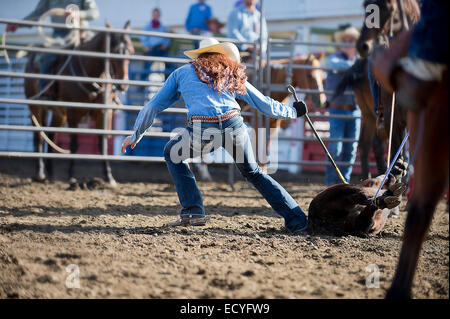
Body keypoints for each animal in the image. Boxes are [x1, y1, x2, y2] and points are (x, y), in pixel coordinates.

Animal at [24, 21, 134, 188]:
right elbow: (74, 144)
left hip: (59, 113)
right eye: (114, 51)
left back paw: (51, 174)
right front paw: (71, 177)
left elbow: (103, 144)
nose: (123, 85)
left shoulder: (102, 113)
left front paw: (109, 177)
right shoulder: (73, 113)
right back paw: (40, 173)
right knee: (39, 137)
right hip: (35, 107)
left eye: (130, 51)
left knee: (51, 135)